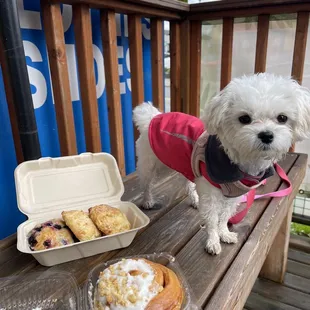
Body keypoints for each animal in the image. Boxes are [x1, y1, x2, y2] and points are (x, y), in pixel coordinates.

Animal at [133, 72, 310, 254]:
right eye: (244, 118)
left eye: (282, 118)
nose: (266, 135)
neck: (238, 160)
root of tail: (153, 117)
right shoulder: (210, 193)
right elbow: (212, 219)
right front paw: (213, 241)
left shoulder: (235, 194)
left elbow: (225, 216)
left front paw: (224, 233)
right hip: (149, 164)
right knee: (146, 184)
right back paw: (147, 201)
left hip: (186, 166)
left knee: (188, 183)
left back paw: (195, 199)